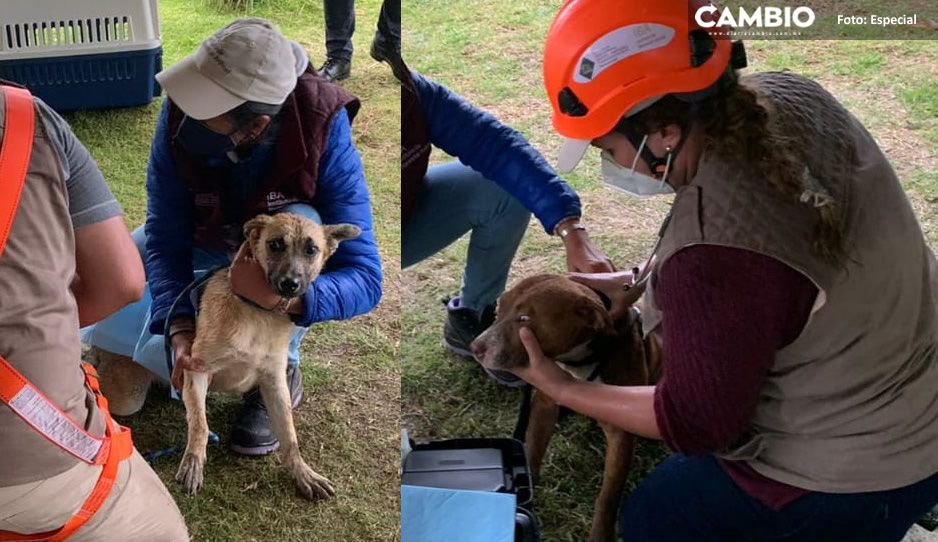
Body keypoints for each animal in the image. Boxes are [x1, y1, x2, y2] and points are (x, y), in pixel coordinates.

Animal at [176, 212, 362, 502]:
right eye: (275, 244)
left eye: (311, 250)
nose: (290, 284)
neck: (257, 312)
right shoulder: (196, 369)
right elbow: (199, 423)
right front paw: (193, 461)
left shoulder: (275, 384)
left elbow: (289, 436)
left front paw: (303, 474)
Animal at [468, 276, 660, 542]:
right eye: (498, 309)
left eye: (525, 318)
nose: (475, 347)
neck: (578, 361)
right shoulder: (545, 404)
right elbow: (534, 449)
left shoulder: (620, 432)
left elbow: (608, 496)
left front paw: (600, 534)